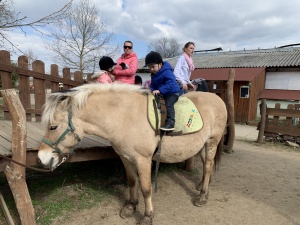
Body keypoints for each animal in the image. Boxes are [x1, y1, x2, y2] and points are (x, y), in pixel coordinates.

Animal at [37, 83, 227, 225]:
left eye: (53, 127)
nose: (42, 158)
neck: (124, 117)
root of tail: (218, 99)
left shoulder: (143, 160)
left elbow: (146, 188)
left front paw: (148, 216)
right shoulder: (126, 158)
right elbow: (132, 181)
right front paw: (131, 207)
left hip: (212, 142)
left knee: (208, 166)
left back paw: (202, 196)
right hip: (202, 145)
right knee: (206, 165)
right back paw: (202, 187)